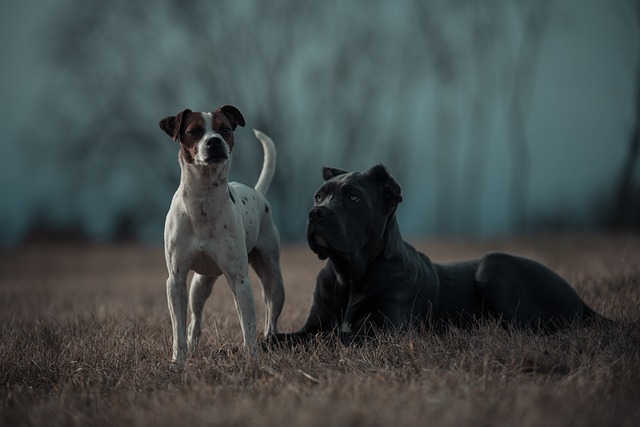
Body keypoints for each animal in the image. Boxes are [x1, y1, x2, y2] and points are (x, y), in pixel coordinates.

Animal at [159, 105, 284, 370]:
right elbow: (178, 329)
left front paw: (253, 360)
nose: (214, 141)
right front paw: (177, 363)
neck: (203, 203)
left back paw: (270, 340)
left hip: (272, 279)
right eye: (194, 131)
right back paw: (193, 342)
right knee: (195, 320)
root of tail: (257, 192)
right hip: (200, 285)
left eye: (225, 128)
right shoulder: (175, 281)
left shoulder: (240, 280)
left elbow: (248, 327)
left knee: (270, 314)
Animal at [276, 164, 604, 344]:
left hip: (493, 265)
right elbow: (277, 339)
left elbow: (333, 340)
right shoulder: (314, 326)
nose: (316, 213)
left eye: (354, 197)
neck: (349, 277)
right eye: (319, 196)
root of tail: (581, 301)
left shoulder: (379, 331)